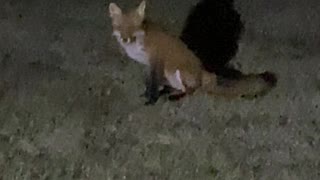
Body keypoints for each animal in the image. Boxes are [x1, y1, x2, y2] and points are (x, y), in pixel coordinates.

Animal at [108, 0, 278, 105]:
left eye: (134, 27)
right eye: (121, 27)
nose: (125, 39)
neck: (139, 43)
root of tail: (205, 74)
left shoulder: (157, 60)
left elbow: (154, 84)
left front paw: (151, 100)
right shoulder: (148, 65)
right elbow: (149, 82)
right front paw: (147, 94)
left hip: (178, 72)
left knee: (192, 90)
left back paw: (175, 97)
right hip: (171, 74)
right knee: (180, 88)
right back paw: (169, 92)